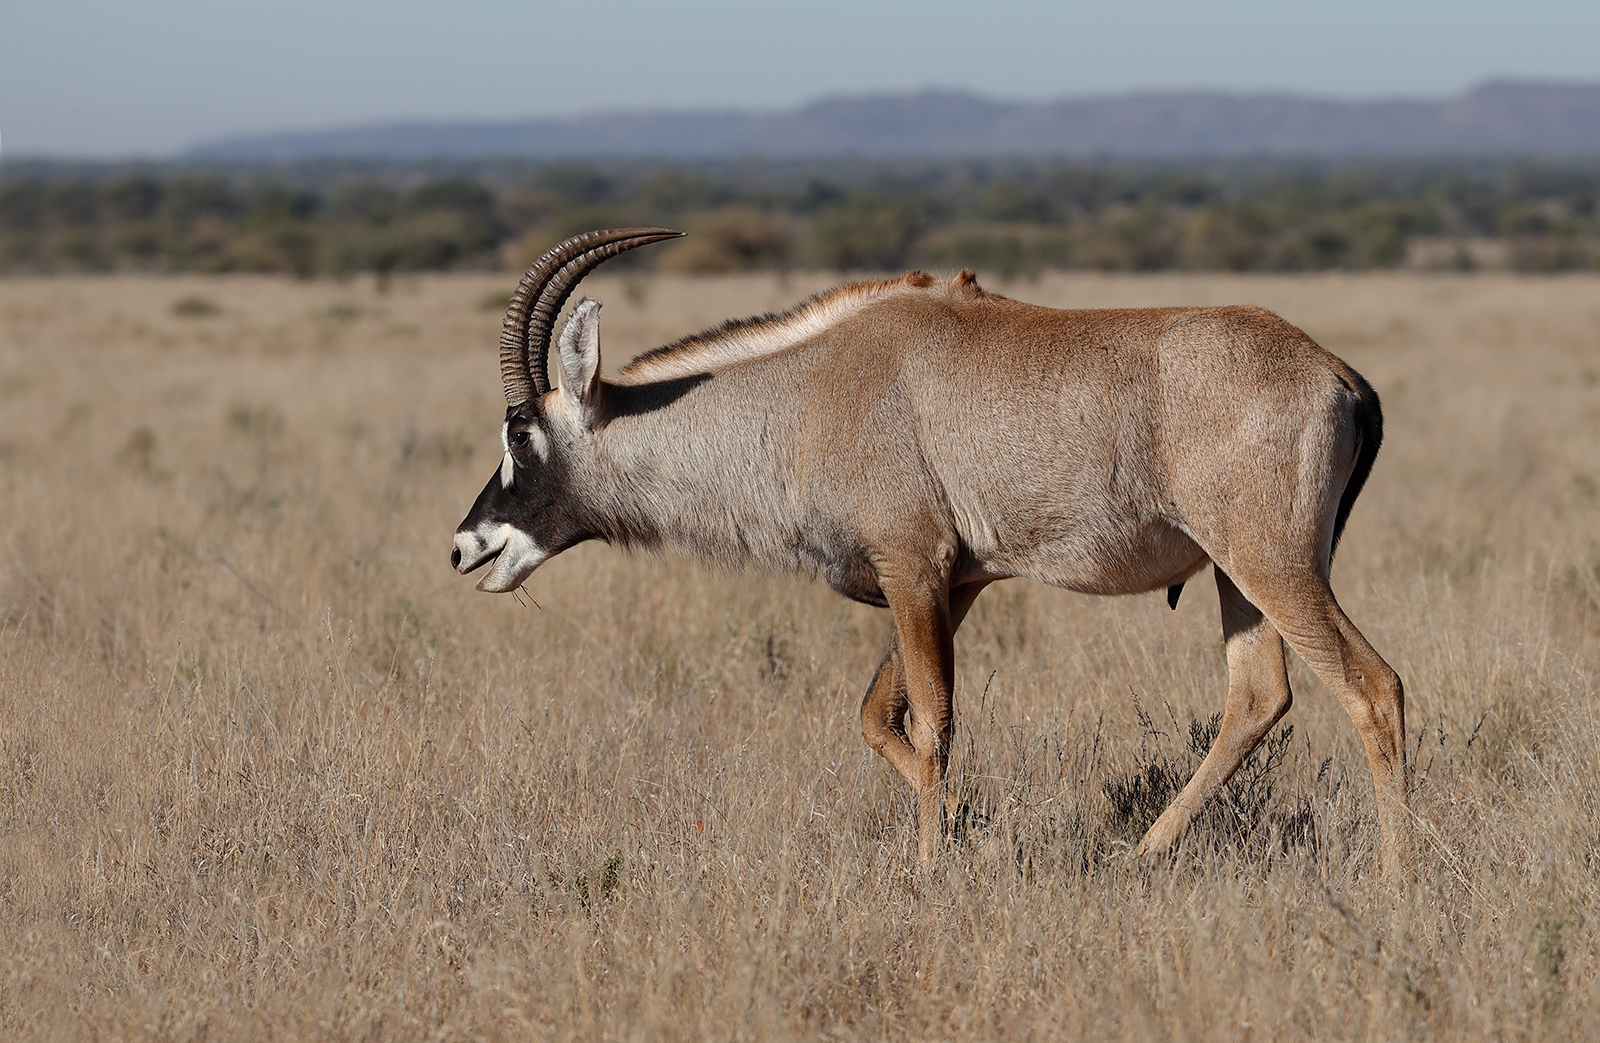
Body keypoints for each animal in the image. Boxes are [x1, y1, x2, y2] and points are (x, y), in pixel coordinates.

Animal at [452, 228, 1411, 873]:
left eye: (521, 433)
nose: (466, 546)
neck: (816, 386)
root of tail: (1336, 374)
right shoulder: (956, 583)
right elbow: (880, 717)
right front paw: (956, 839)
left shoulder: (914, 570)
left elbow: (934, 721)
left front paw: (932, 865)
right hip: (1236, 576)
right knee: (1258, 697)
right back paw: (1141, 857)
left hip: (1274, 565)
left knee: (1372, 686)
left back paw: (1402, 883)